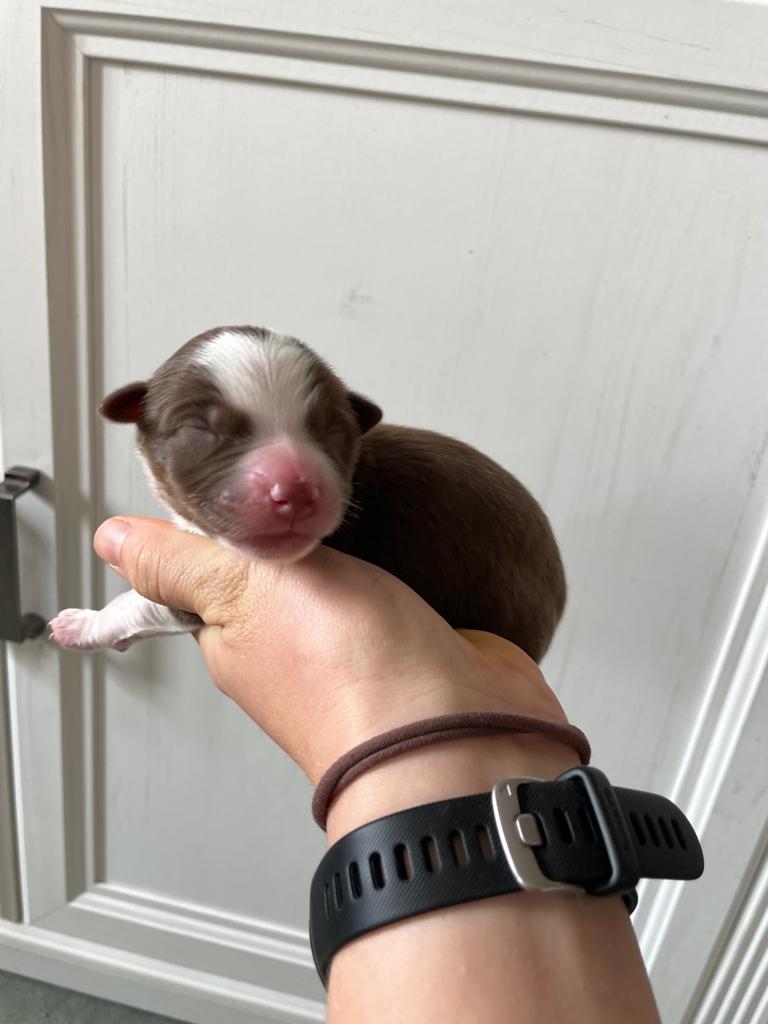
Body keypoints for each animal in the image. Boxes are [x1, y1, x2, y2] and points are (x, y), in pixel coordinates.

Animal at [48, 327, 565, 663]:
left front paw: (84, 623)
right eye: (199, 429)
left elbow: (140, 601)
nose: (295, 490)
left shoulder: (189, 597)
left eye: (333, 430)